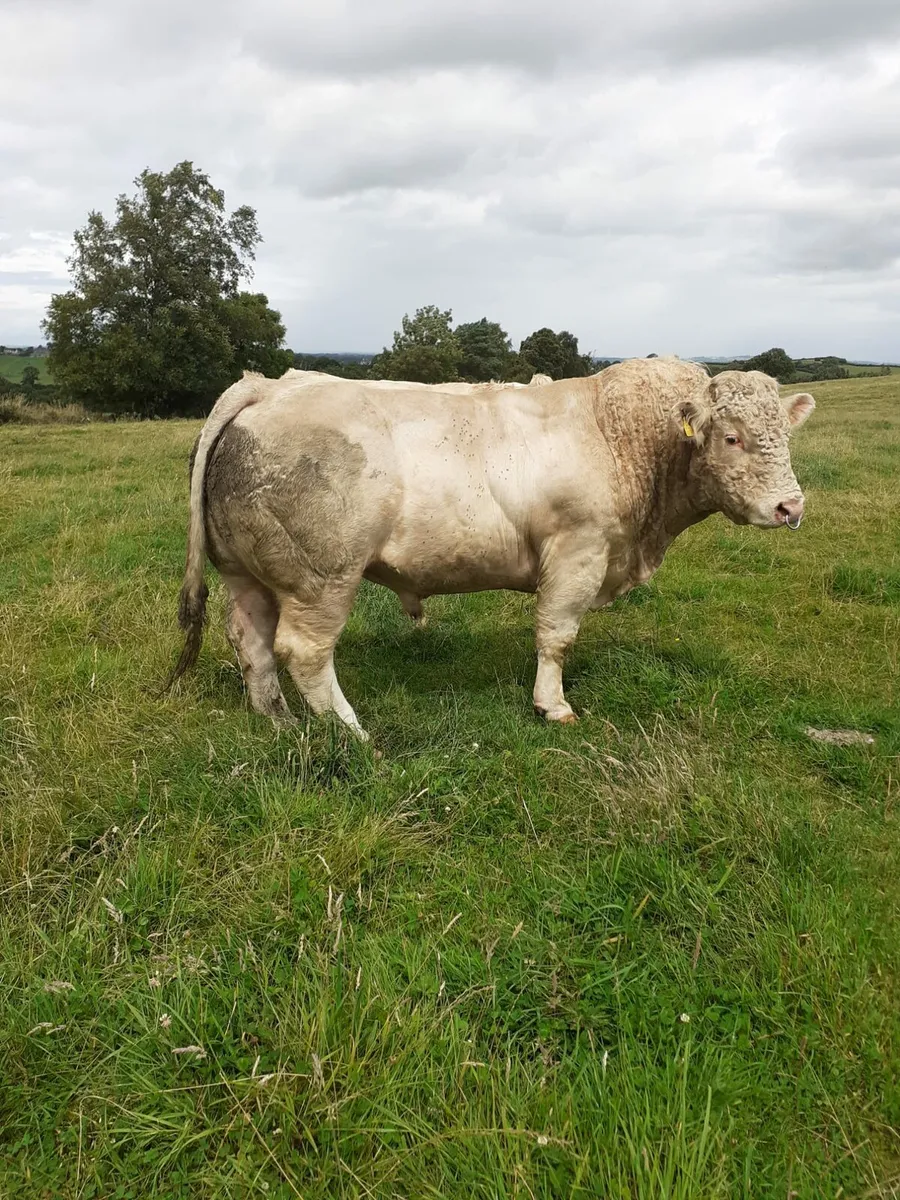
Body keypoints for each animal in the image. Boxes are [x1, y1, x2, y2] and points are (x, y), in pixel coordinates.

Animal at [168, 357, 814, 739]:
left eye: (785, 435)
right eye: (731, 437)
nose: (791, 507)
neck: (619, 437)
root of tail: (267, 387)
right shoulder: (578, 552)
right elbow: (557, 636)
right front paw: (552, 705)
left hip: (250, 573)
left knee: (251, 641)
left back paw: (275, 720)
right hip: (321, 577)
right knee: (303, 651)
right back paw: (352, 734)